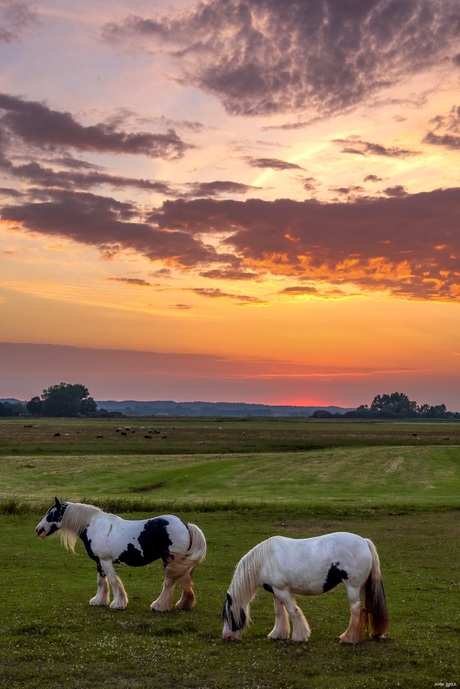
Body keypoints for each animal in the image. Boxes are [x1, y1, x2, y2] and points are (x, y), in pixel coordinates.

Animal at [35, 498, 207, 612]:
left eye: (51, 514)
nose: (38, 530)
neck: (94, 526)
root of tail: (185, 525)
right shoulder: (99, 562)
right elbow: (101, 581)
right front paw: (99, 601)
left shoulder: (106, 561)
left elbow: (113, 580)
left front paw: (118, 603)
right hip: (183, 564)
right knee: (185, 582)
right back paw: (184, 605)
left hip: (170, 561)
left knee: (169, 583)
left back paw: (159, 606)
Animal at [223, 528, 388, 644]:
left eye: (229, 614)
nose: (226, 636)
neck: (265, 560)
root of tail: (364, 541)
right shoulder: (276, 591)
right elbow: (279, 612)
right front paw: (277, 634)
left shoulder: (282, 590)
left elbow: (292, 611)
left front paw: (299, 637)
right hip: (363, 587)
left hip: (352, 587)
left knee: (355, 609)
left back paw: (349, 638)